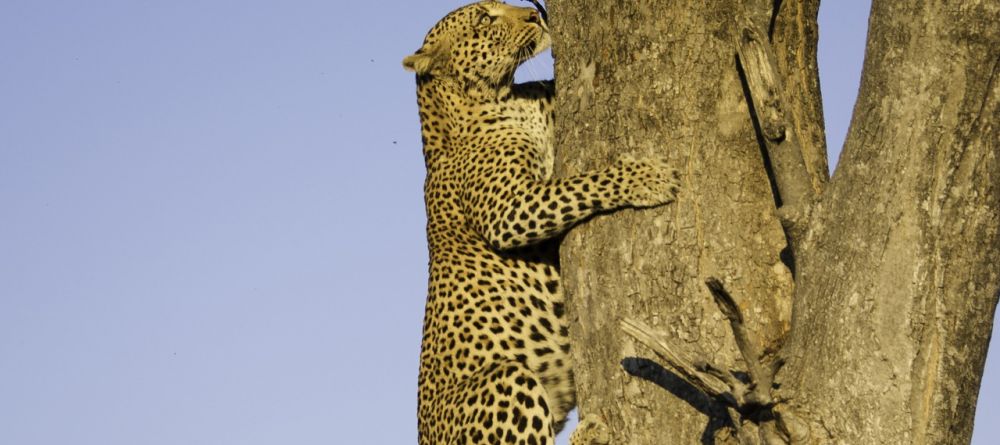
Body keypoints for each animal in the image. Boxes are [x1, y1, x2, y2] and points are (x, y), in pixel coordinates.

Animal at [403, 2, 681, 444]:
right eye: (484, 19)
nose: (534, 15)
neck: (500, 97)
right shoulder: (509, 209)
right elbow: (578, 186)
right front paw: (645, 178)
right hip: (505, 376)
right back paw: (592, 431)